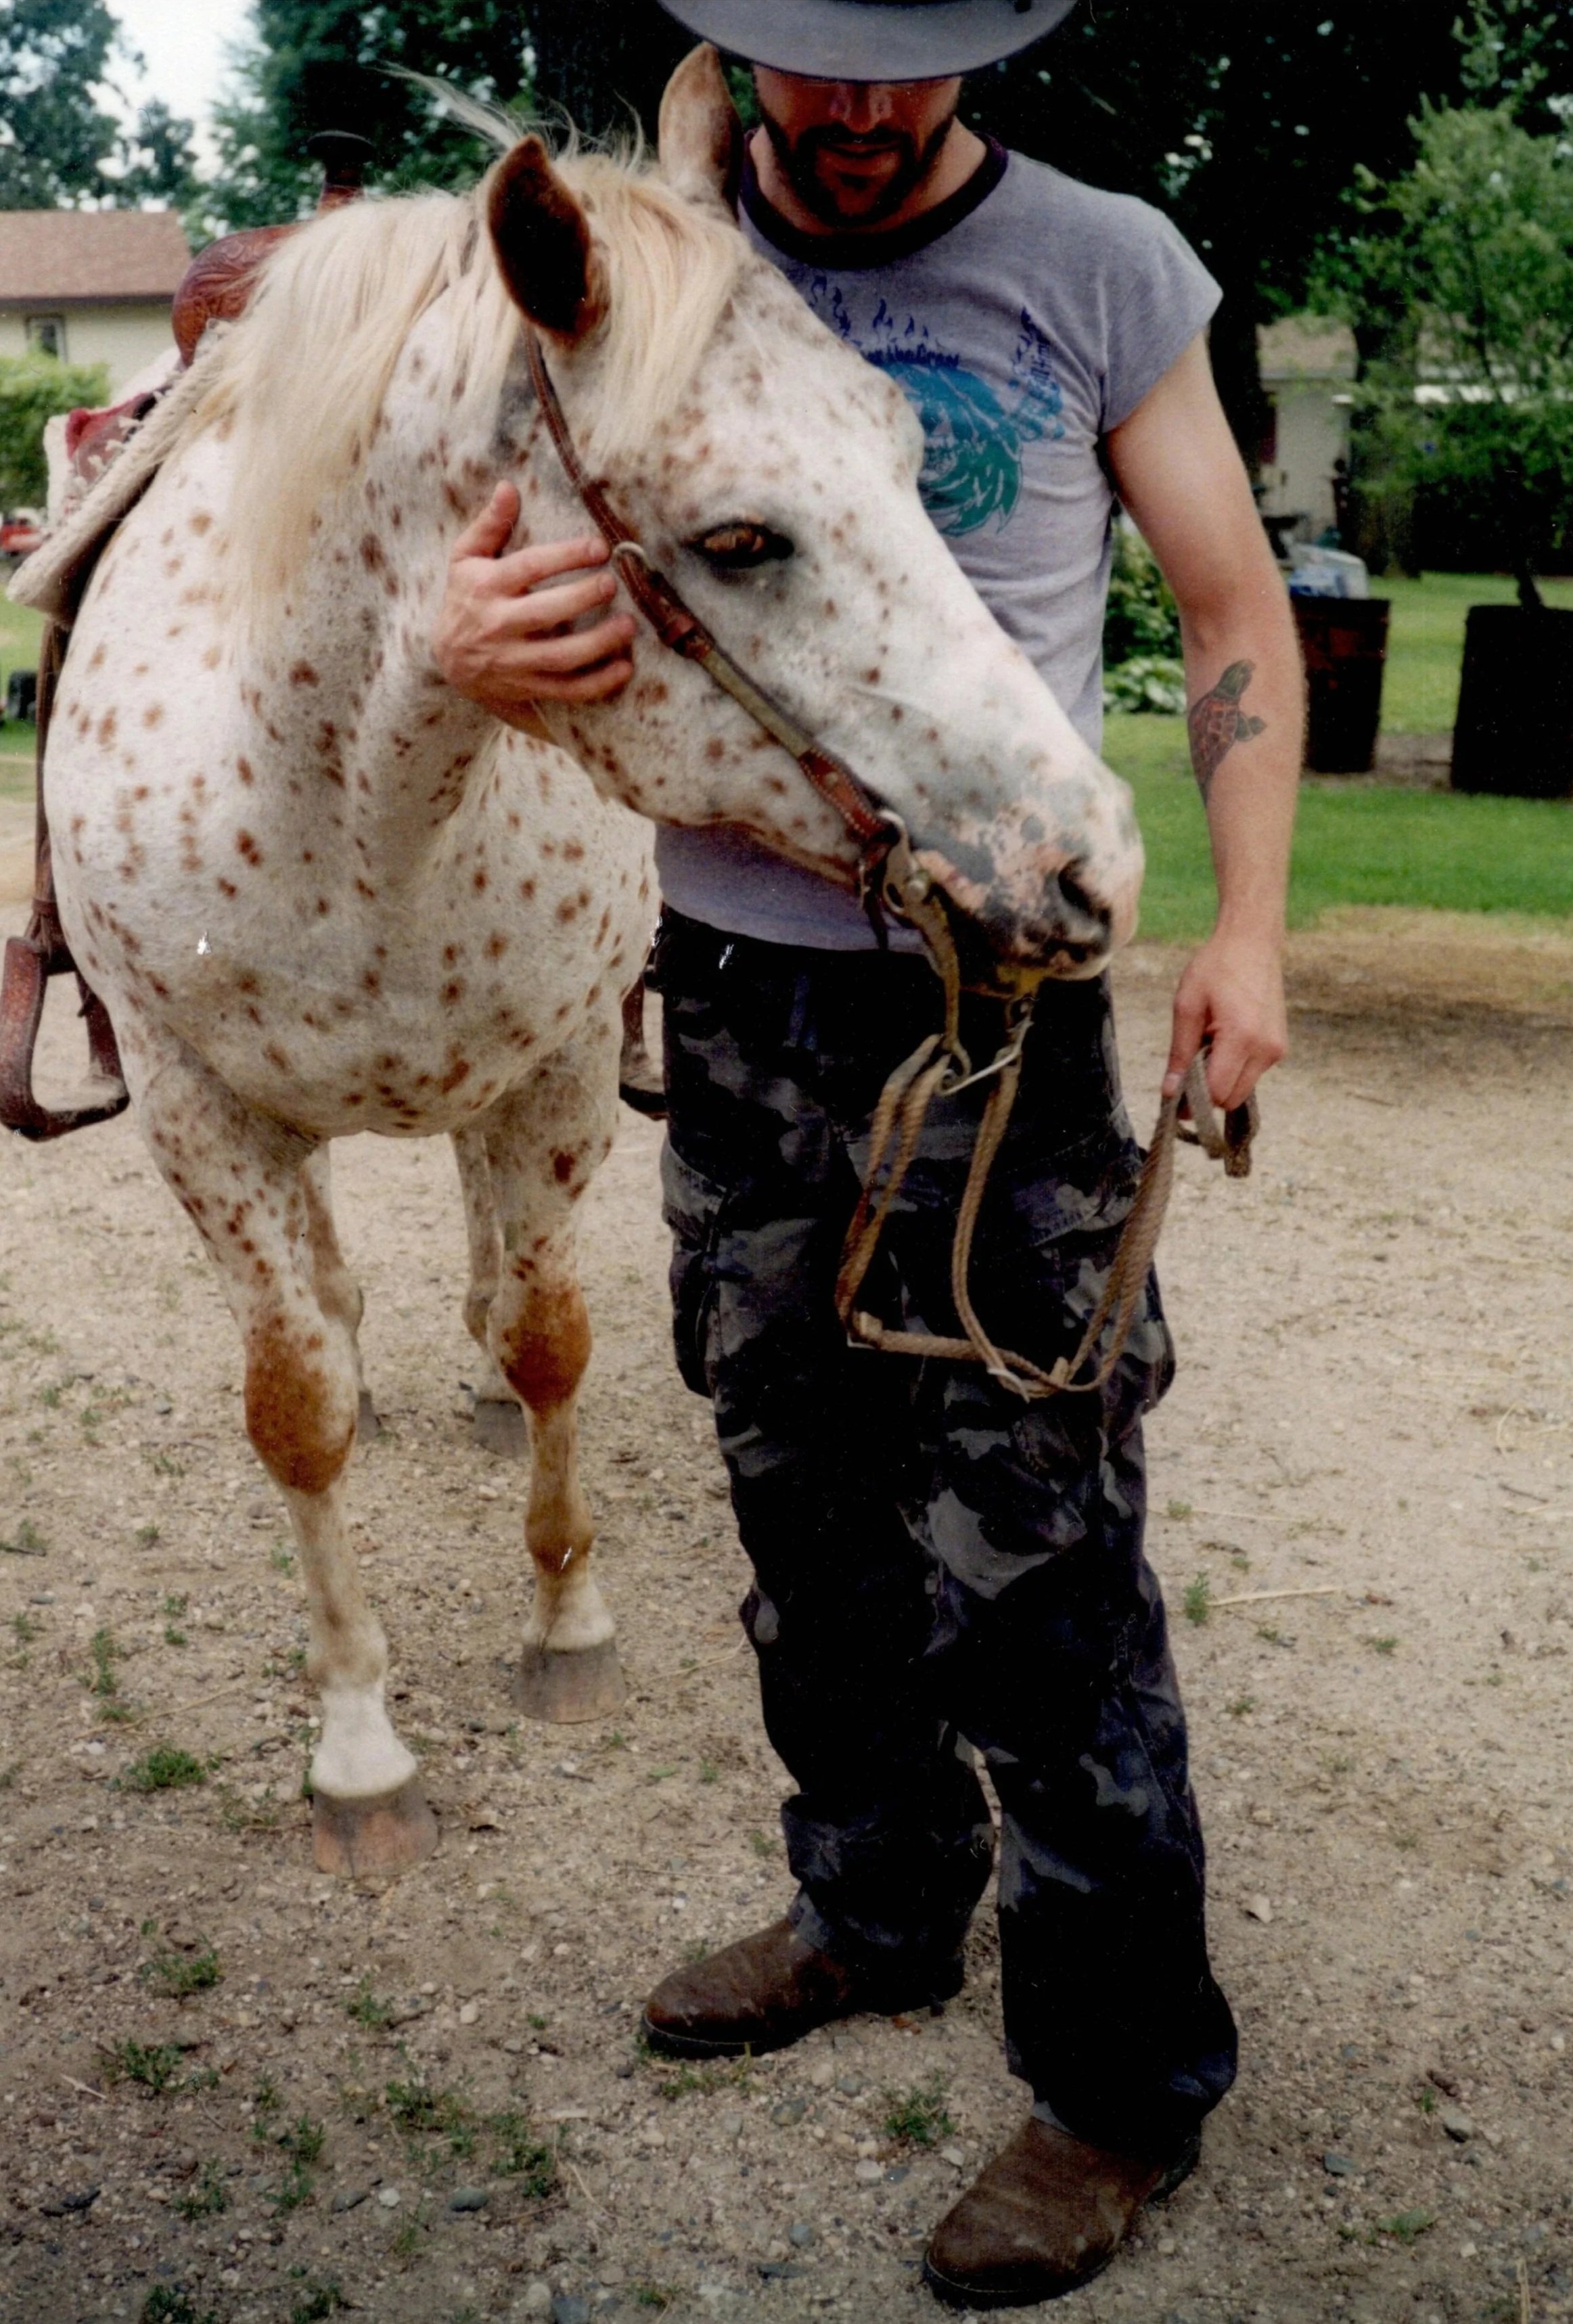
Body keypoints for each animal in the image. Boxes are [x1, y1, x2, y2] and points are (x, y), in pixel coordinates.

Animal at [39, 47, 1144, 1880]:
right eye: (744, 539)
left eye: (907, 451)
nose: (1082, 860)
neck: (351, 795)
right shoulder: (203, 1115)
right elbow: (297, 1405)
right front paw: (360, 1747)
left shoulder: (553, 1071)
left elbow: (551, 1337)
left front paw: (566, 1623)